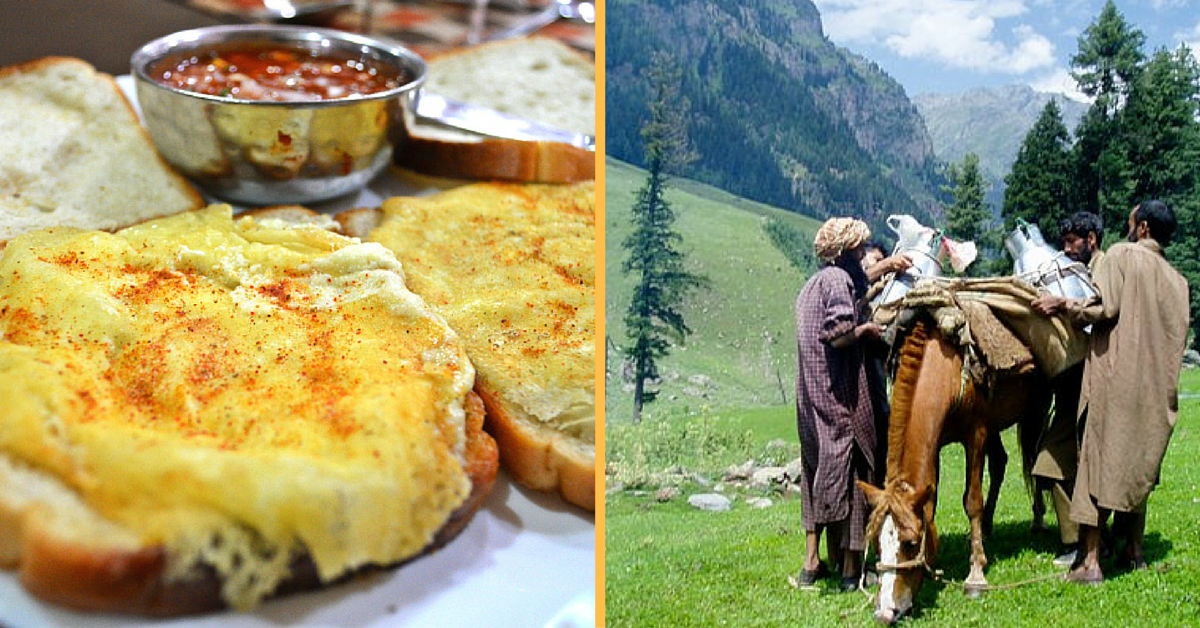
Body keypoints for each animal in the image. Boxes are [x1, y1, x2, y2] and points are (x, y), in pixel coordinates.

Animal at [854, 314, 1051, 624]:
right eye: (875, 543)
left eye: (911, 543)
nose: (886, 612)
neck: (948, 370)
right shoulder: (935, 444)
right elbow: (931, 501)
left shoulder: (976, 433)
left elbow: (972, 501)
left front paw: (976, 575)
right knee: (1000, 462)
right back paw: (988, 526)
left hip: (1036, 410)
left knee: (1033, 460)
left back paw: (1038, 519)